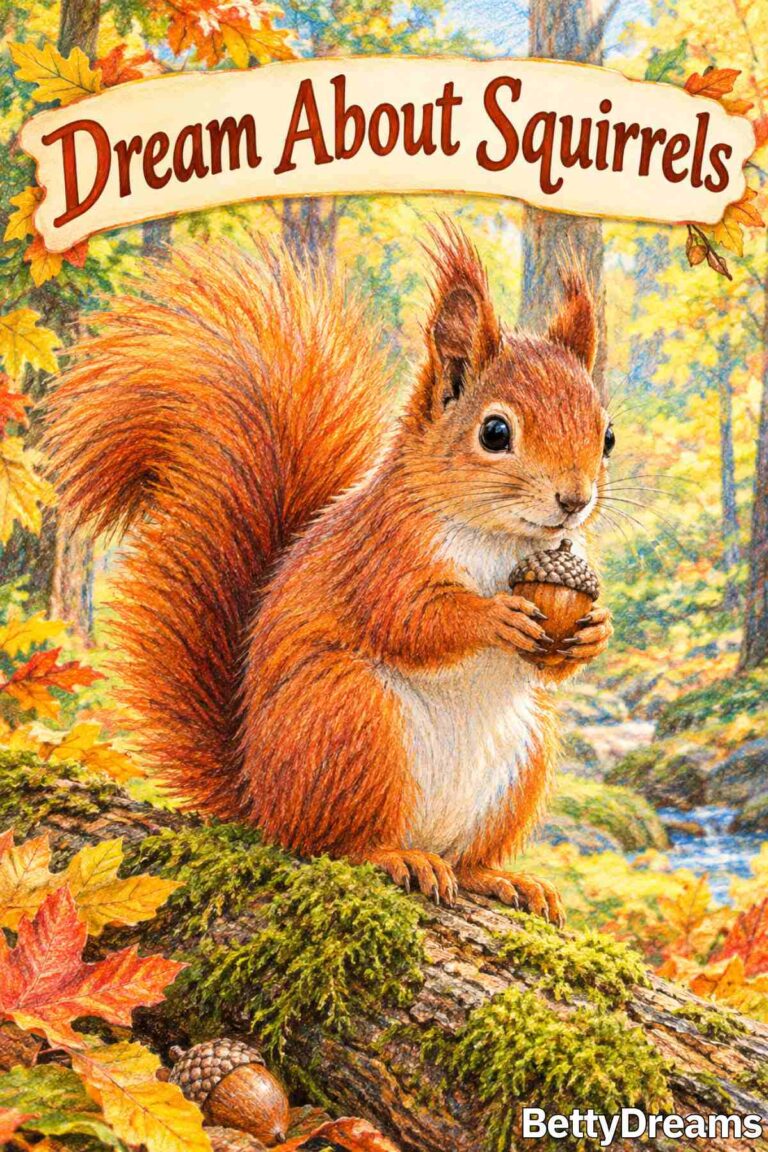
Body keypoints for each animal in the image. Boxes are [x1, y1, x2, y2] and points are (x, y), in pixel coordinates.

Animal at [46, 223, 614, 925]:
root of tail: (260, 799)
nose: (575, 500)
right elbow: (409, 619)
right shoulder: (379, 555)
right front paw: (493, 616)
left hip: (522, 757)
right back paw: (394, 857)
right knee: (331, 841)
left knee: (466, 859)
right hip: (348, 718)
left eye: (607, 436)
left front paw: (595, 630)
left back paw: (500, 877)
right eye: (495, 431)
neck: (502, 540)